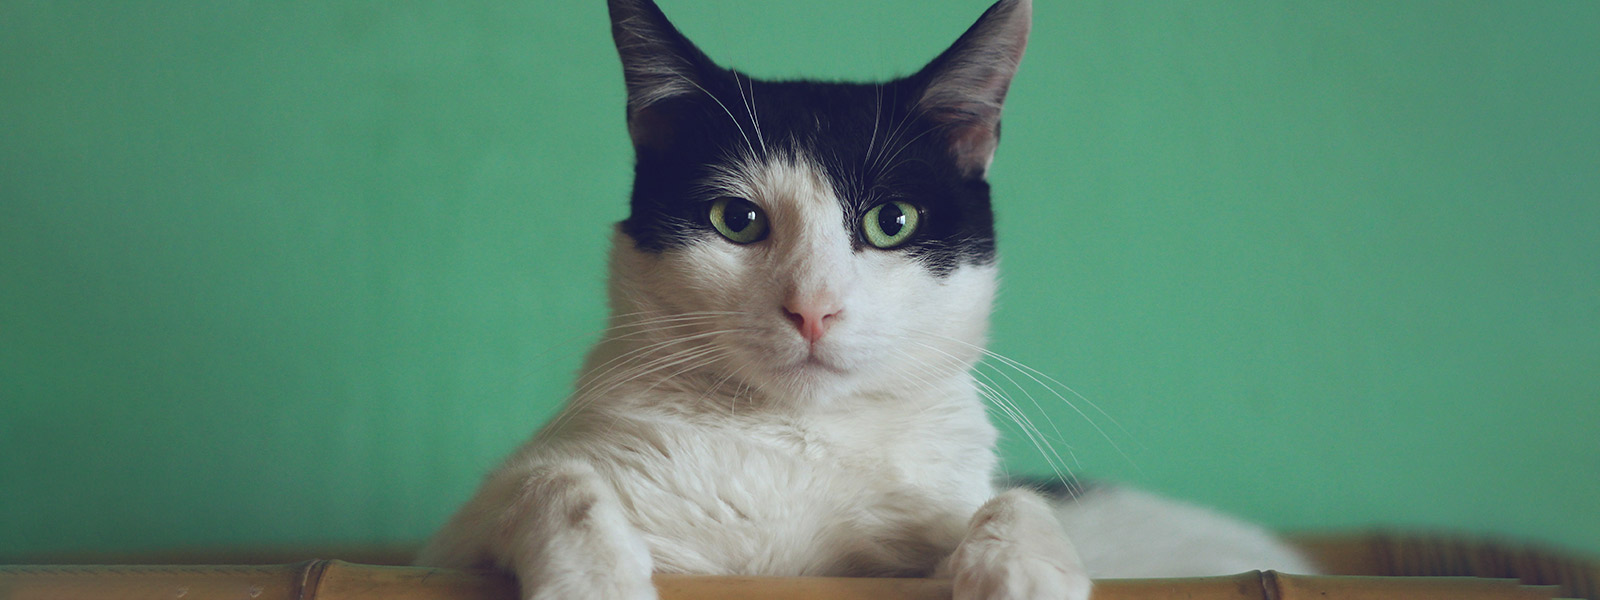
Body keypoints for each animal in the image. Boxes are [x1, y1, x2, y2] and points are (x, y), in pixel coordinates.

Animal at [412, 1, 1312, 600]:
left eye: (891, 222)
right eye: (736, 220)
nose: (813, 307)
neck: (793, 444)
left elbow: (1010, 501)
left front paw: (1020, 570)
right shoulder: (445, 549)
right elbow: (548, 482)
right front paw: (593, 577)